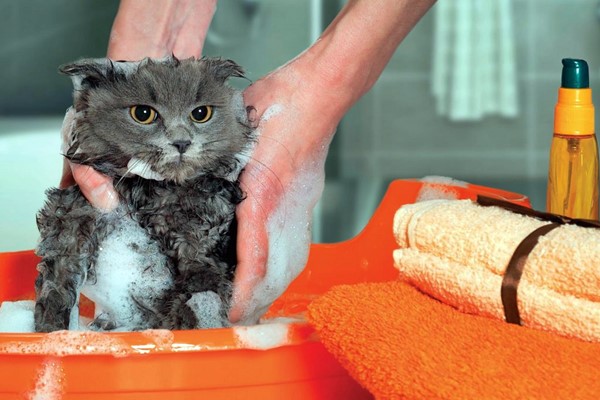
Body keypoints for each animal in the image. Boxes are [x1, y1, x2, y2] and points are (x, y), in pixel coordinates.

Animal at [34, 55, 255, 332]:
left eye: (201, 113)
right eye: (143, 114)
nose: (182, 142)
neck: (152, 191)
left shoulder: (204, 241)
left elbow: (202, 283)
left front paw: (195, 323)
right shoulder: (74, 212)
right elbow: (60, 272)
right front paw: (52, 326)